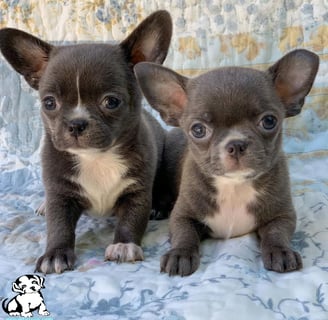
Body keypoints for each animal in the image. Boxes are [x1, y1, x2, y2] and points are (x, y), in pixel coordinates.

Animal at [0, 10, 173, 276]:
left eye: (111, 102)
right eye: (49, 103)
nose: (76, 123)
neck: (96, 157)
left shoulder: (136, 192)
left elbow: (131, 219)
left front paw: (124, 245)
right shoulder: (60, 195)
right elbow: (59, 225)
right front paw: (55, 254)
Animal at [135, 48, 320, 276]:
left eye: (269, 121)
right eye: (198, 129)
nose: (236, 143)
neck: (234, 184)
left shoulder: (282, 215)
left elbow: (277, 232)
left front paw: (281, 252)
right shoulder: (182, 216)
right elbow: (184, 233)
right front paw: (179, 254)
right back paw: (158, 208)